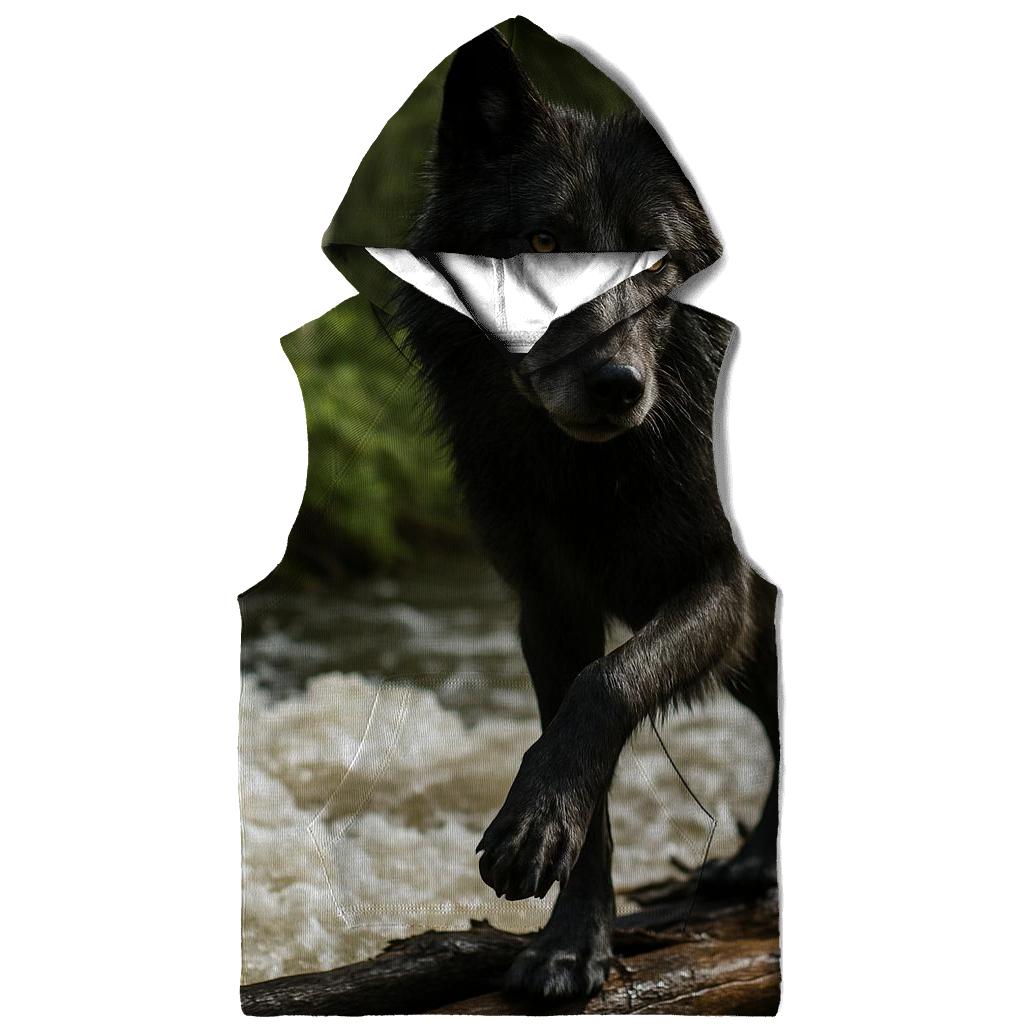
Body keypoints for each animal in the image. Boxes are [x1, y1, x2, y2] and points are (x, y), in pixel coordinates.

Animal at [395, 29, 779, 1001]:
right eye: (542, 241)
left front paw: (537, 831)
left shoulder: (722, 584)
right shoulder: (549, 608)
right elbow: (584, 741)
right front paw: (572, 941)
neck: (598, 473)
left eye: (657, 259)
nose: (616, 385)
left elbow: (609, 686)